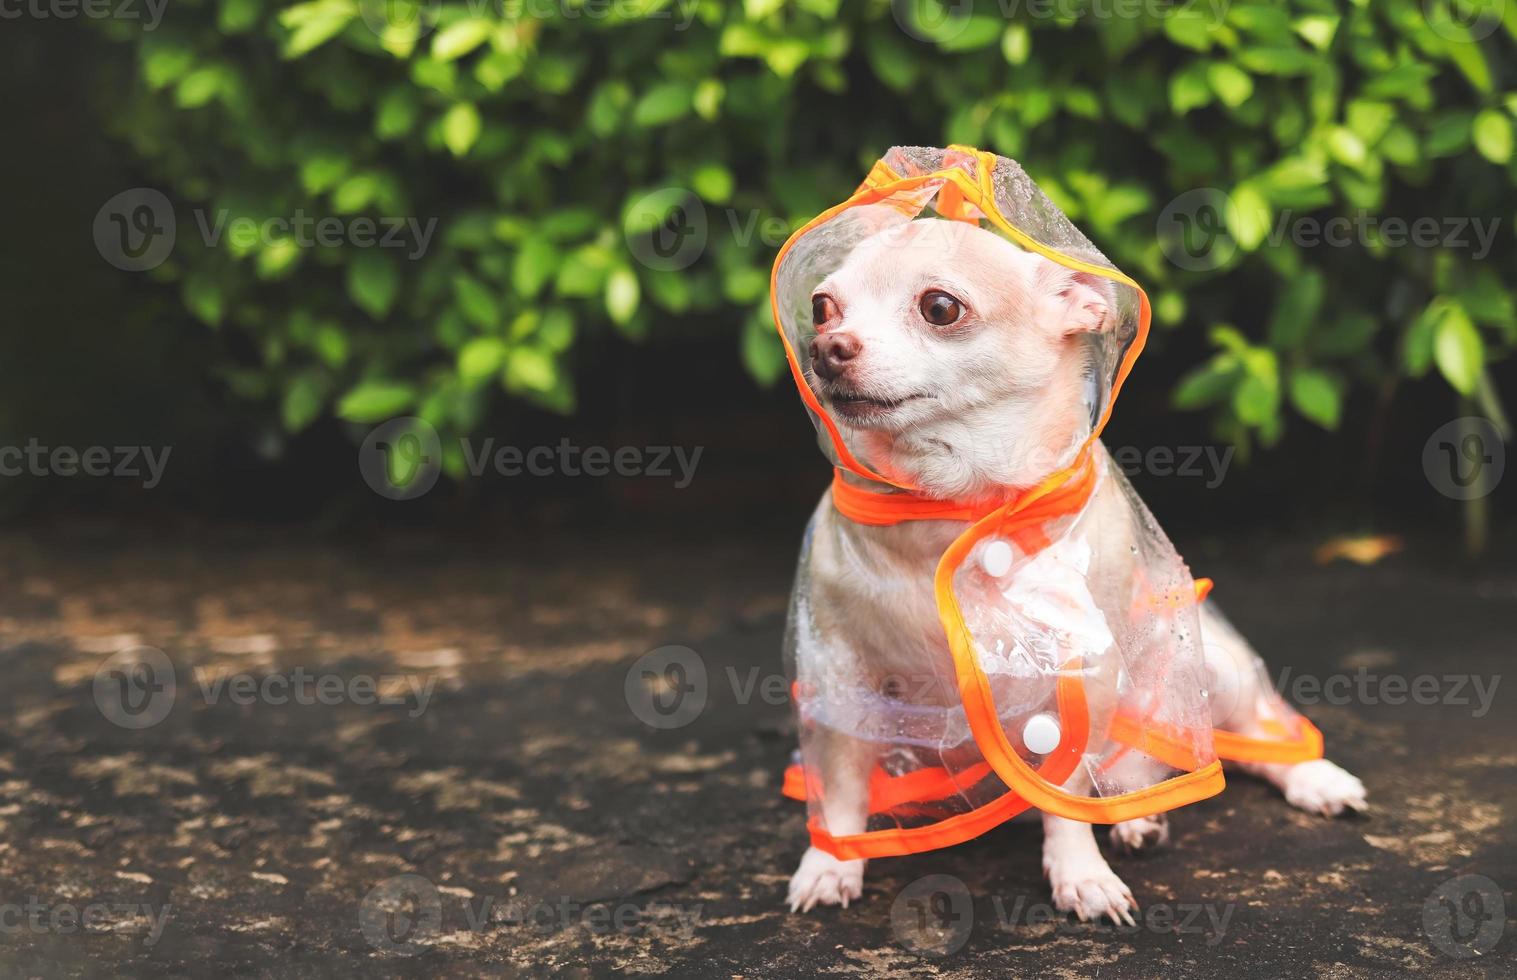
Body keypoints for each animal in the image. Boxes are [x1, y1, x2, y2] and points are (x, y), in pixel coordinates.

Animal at [788, 218, 1371, 928]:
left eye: (940, 308)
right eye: (822, 307)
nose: (826, 346)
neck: (954, 508)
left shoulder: (1078, 675)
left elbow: (1062, 794)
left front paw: (1079, 874)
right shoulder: (839, 677)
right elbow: (844, 786)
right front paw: (831, 861)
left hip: (1214, 668)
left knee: (1247, 737)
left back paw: (1310, 779)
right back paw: (1137, 816)